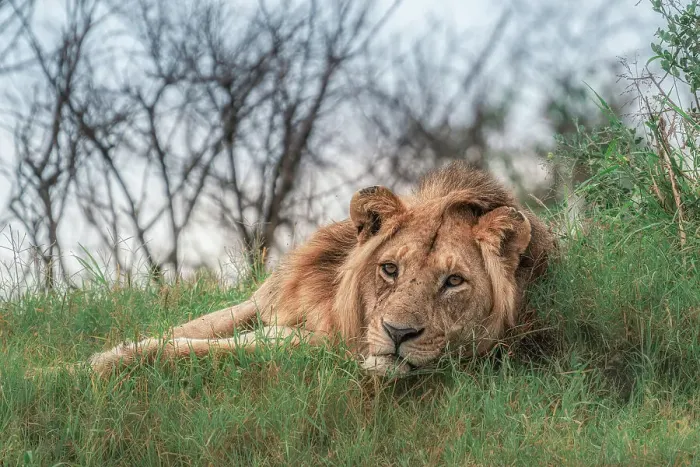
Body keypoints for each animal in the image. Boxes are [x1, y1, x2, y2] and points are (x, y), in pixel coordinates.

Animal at [89, 162, 556, 376]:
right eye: (389, 269)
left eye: (454, 281)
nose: (398, 333)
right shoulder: (260, 302)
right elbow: (188, 329)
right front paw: (90, 358)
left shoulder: (315, 346)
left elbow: (187, 348)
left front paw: (93, 367)